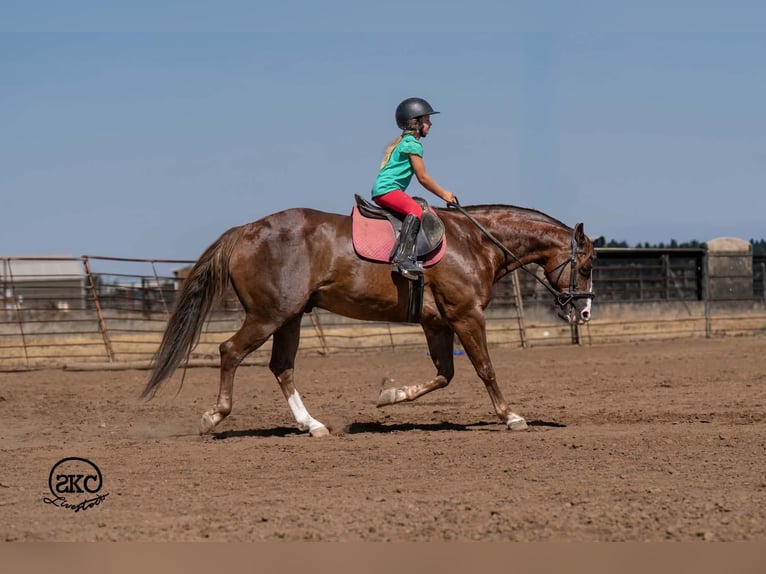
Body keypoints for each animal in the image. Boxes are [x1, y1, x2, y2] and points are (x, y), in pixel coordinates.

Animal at [141, 202, 595, 436]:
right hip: (270, 315)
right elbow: (484, 368)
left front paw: (389, 395)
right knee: (230, 351)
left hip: (290, 318)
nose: (585, 311)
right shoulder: (466, 316)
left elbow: (444, 374)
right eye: (588, 265)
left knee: (281, 367)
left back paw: (311, 424)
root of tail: (247, 229)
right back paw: (214, 416)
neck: (475, 241)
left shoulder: (437, 323)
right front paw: (511, 416)